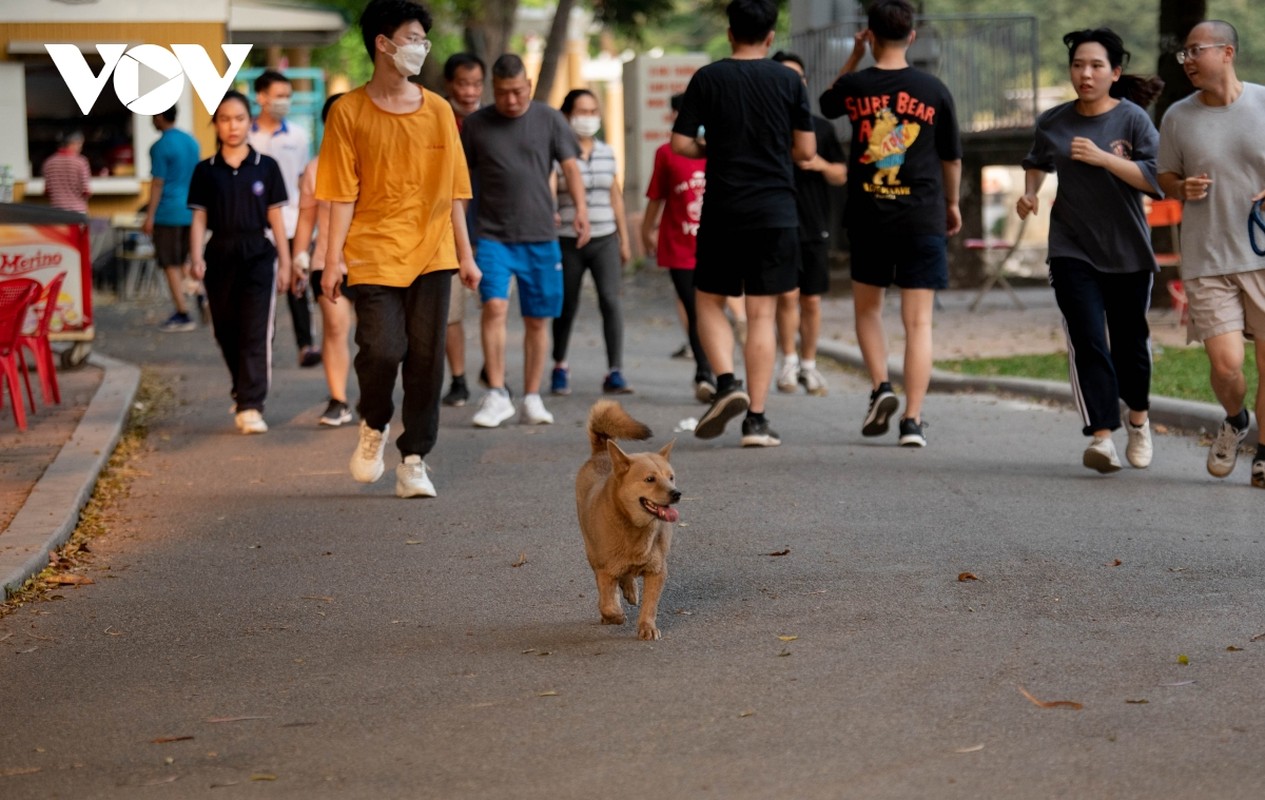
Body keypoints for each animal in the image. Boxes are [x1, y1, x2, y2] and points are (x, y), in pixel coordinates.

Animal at [579, 402, 683, 640]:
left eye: (671, 477)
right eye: (650, 479)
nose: (676, 493)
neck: (635, 528)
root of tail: (602, 452)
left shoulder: (657, 571)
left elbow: (650, 605)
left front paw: (647, 627)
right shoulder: (604, 570)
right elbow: (607, 603)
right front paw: (615, 616)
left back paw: (631, 590)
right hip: (591, 552)